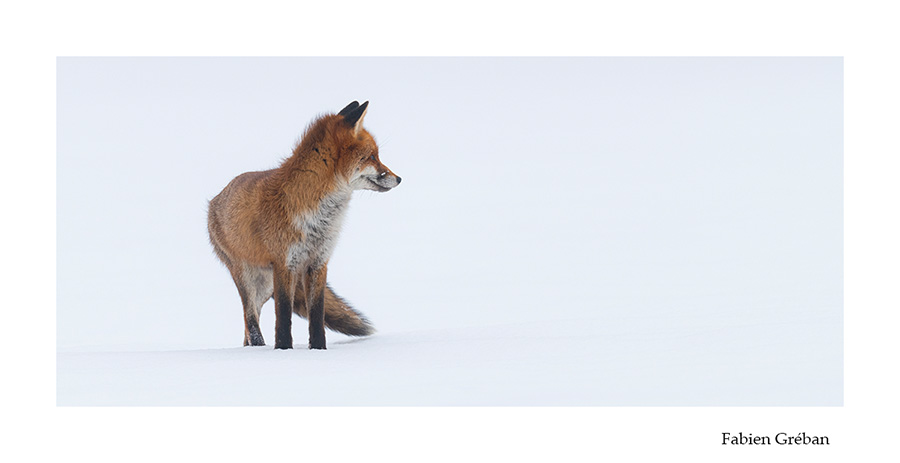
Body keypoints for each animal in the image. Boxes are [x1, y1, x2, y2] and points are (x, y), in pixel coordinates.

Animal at [207, 101, 400, 349]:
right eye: (372, 157)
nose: (399, 179)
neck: (319, 218)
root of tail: (214, 200)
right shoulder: (285, 263)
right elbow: (283, 315)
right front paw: (284, 349)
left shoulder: (319, 261)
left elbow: (316, 314)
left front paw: (318, 349)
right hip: (248, 279)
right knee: (250, 319)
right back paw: (259, 348)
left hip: (265, 285)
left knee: (249, 324)